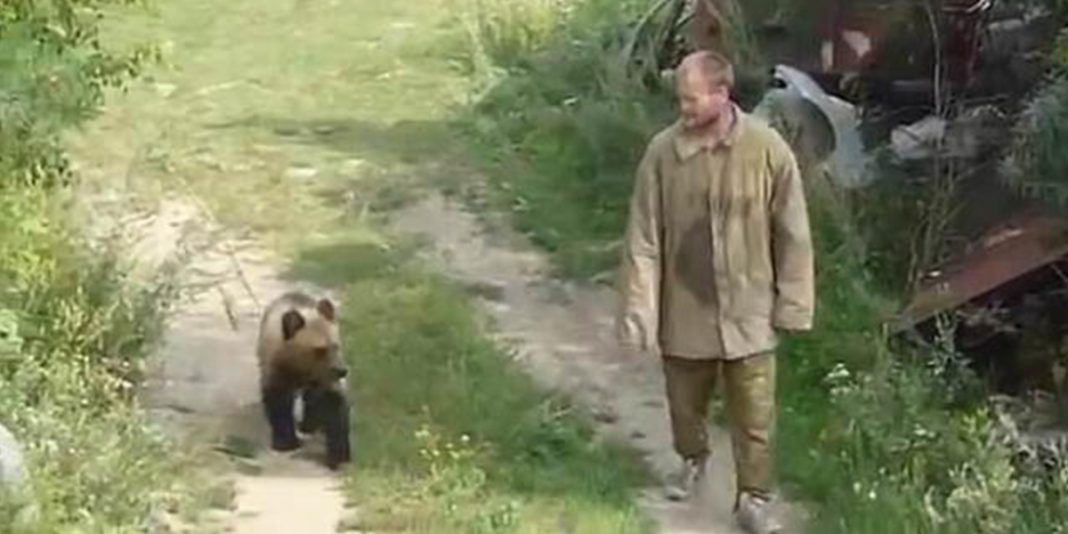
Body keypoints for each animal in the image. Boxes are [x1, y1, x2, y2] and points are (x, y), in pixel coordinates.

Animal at [255, 290, 352, 470]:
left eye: (336, 345)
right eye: (319, 349)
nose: (342, 371)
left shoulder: (325, 379)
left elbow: (334, 406)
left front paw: (339, 455)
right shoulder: (278, 372)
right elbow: (278, 403)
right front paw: (285, 442)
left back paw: (309, 425)